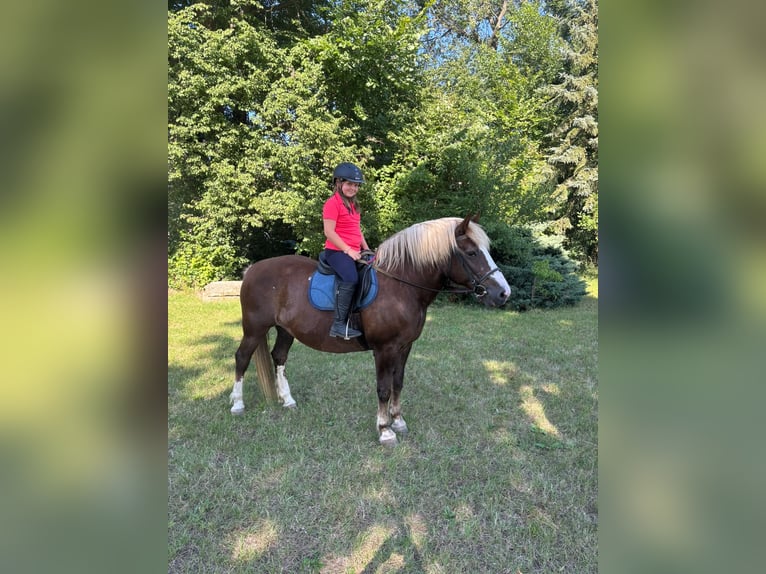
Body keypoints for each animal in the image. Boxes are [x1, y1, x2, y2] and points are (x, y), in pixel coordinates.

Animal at [230, 214, 511, 446]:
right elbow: (383, 388)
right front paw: (385, 430)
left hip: (285, 329)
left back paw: (287, 399)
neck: (400, 286)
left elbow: (398, 382)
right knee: (242, 358)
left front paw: (398, 421)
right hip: (254, 328)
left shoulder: (405, 346)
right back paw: (237, 404)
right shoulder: (384, 349)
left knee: (279, 356)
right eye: (472, 253)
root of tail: (253, 269)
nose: (503, 293)